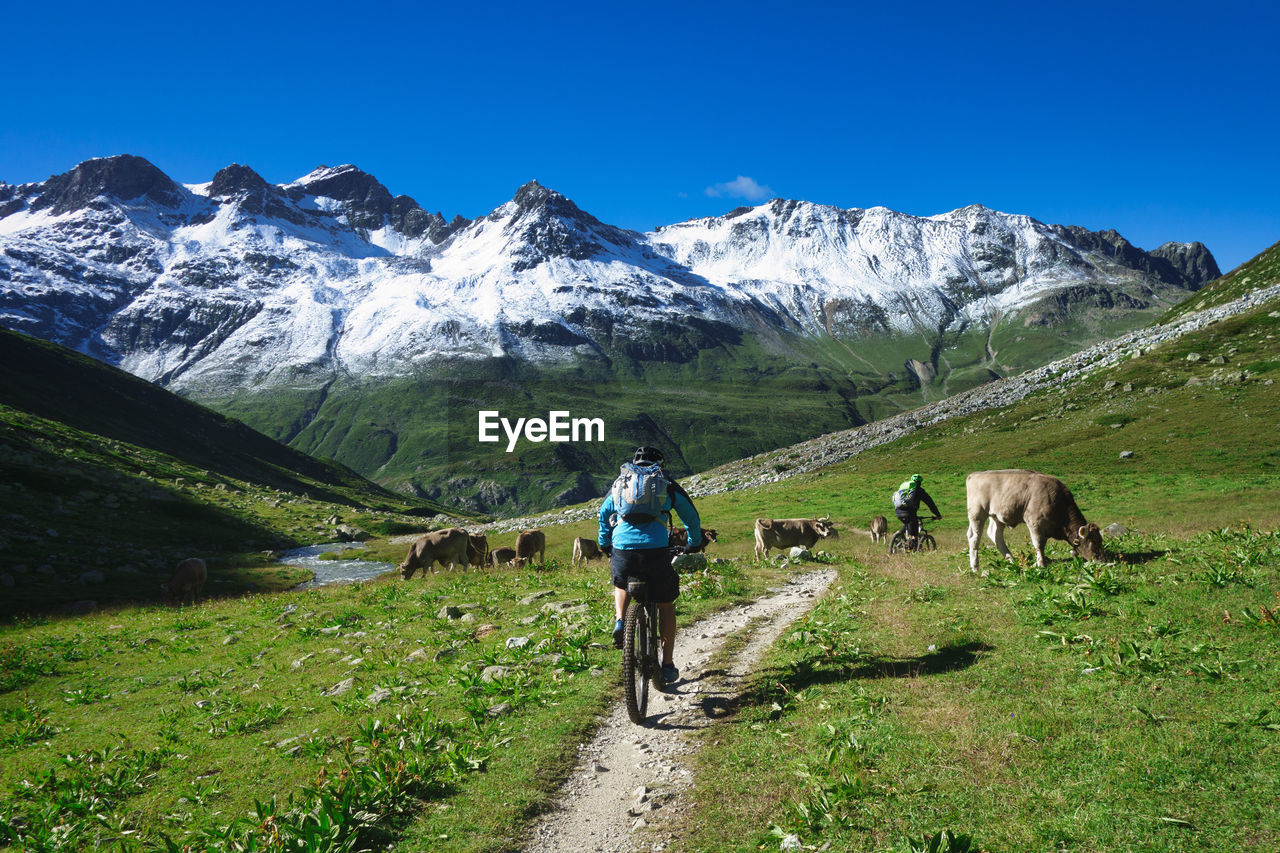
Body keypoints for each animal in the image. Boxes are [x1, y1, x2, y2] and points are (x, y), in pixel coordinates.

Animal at [962, 468, 1105, 568]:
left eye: (1101, 540)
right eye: (1093, 542)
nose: (1103, 560)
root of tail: (975, 475)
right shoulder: (1035, 522)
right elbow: (1039, 544)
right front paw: (1041, 565)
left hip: (997, 516)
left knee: (995, 535)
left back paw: (1011, 560)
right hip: (977, 512)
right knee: (974, 536)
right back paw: (975, 567)